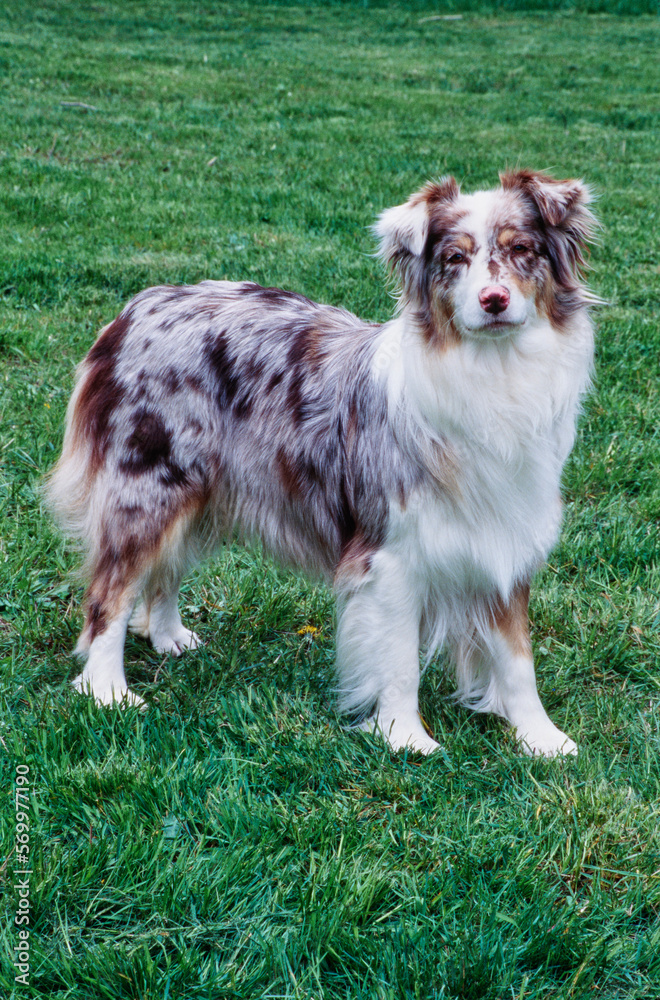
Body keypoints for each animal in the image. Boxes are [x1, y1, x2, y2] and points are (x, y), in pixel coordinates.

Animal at [49, 168, 600, 752]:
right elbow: (399, 660)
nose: (494, 299)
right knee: (110, 594)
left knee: (166, 567)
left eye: (522, 250)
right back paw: (107, 690)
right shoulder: (390, 553)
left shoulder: (505, 538)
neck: (493, 372)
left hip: (202, 488)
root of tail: (136, 309)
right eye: (455, 258)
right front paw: (406, 738)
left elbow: (517, 659)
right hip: (148, 484)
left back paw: (169, 635)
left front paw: (542, 738)